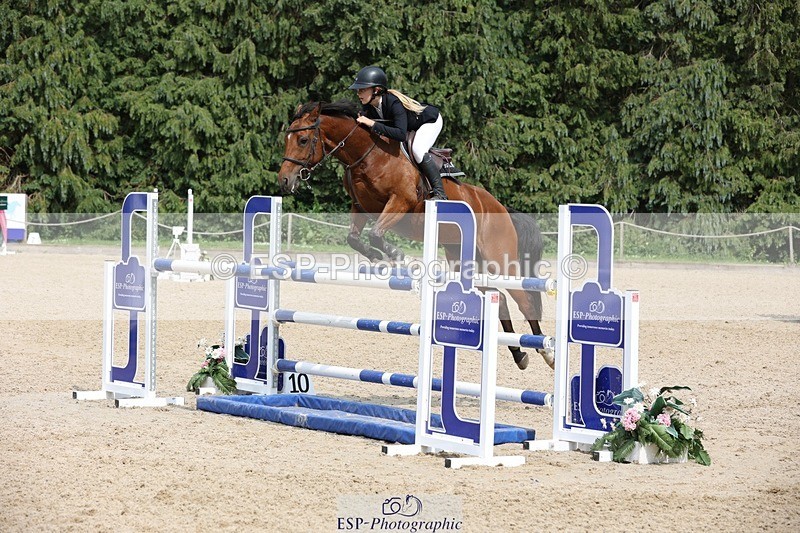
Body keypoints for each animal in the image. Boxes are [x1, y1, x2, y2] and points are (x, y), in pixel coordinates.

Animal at [278, 100, 553, 370]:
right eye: (287, 139)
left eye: (303, 140)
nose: (284, 181)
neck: (369, 155)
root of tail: (501, 207)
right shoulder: (360, 208)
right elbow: (354, 238)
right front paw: (378, 259)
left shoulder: (401, 202)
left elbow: (376, 234)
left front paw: (402, 259)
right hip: (464, 262)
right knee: (500, 300)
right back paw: (519, 354)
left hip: (500, 260)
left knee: (524, 301)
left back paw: (546, 352)